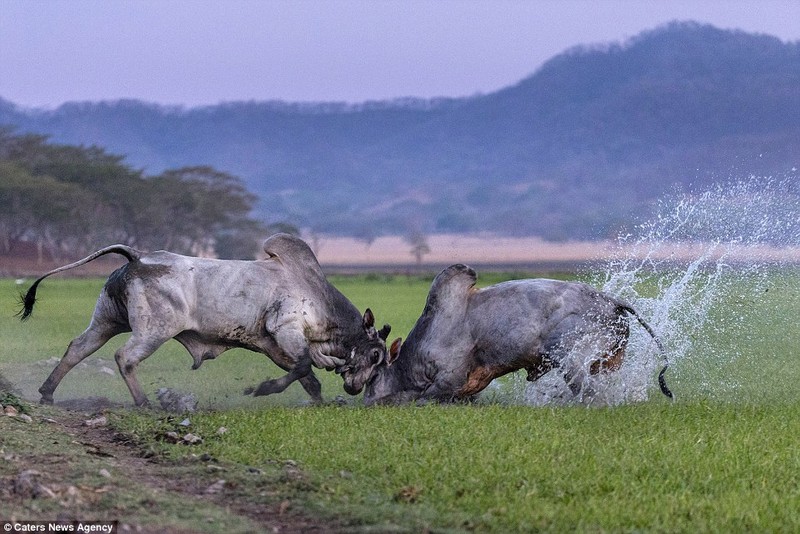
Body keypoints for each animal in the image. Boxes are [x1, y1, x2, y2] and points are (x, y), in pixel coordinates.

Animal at [18, 233, 390, 406]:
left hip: (106, 323)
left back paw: (47, 393)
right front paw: (262, 389)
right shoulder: (285, 331)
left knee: (77, 348)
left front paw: (319, 402)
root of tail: (137, 257)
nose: (356, 387)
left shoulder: (273, 345)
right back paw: (144, 402)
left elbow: (308, 376)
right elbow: (302, 367)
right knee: (125, 357)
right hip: (154, 330)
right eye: (374, 354)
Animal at [350, 266, 668, 408]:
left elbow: (421, 399)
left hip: (572, 359)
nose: (355, 392)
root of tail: (611, 301)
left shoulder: (448, 380)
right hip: (605, 361)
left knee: (590, 393)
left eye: (374, 374)